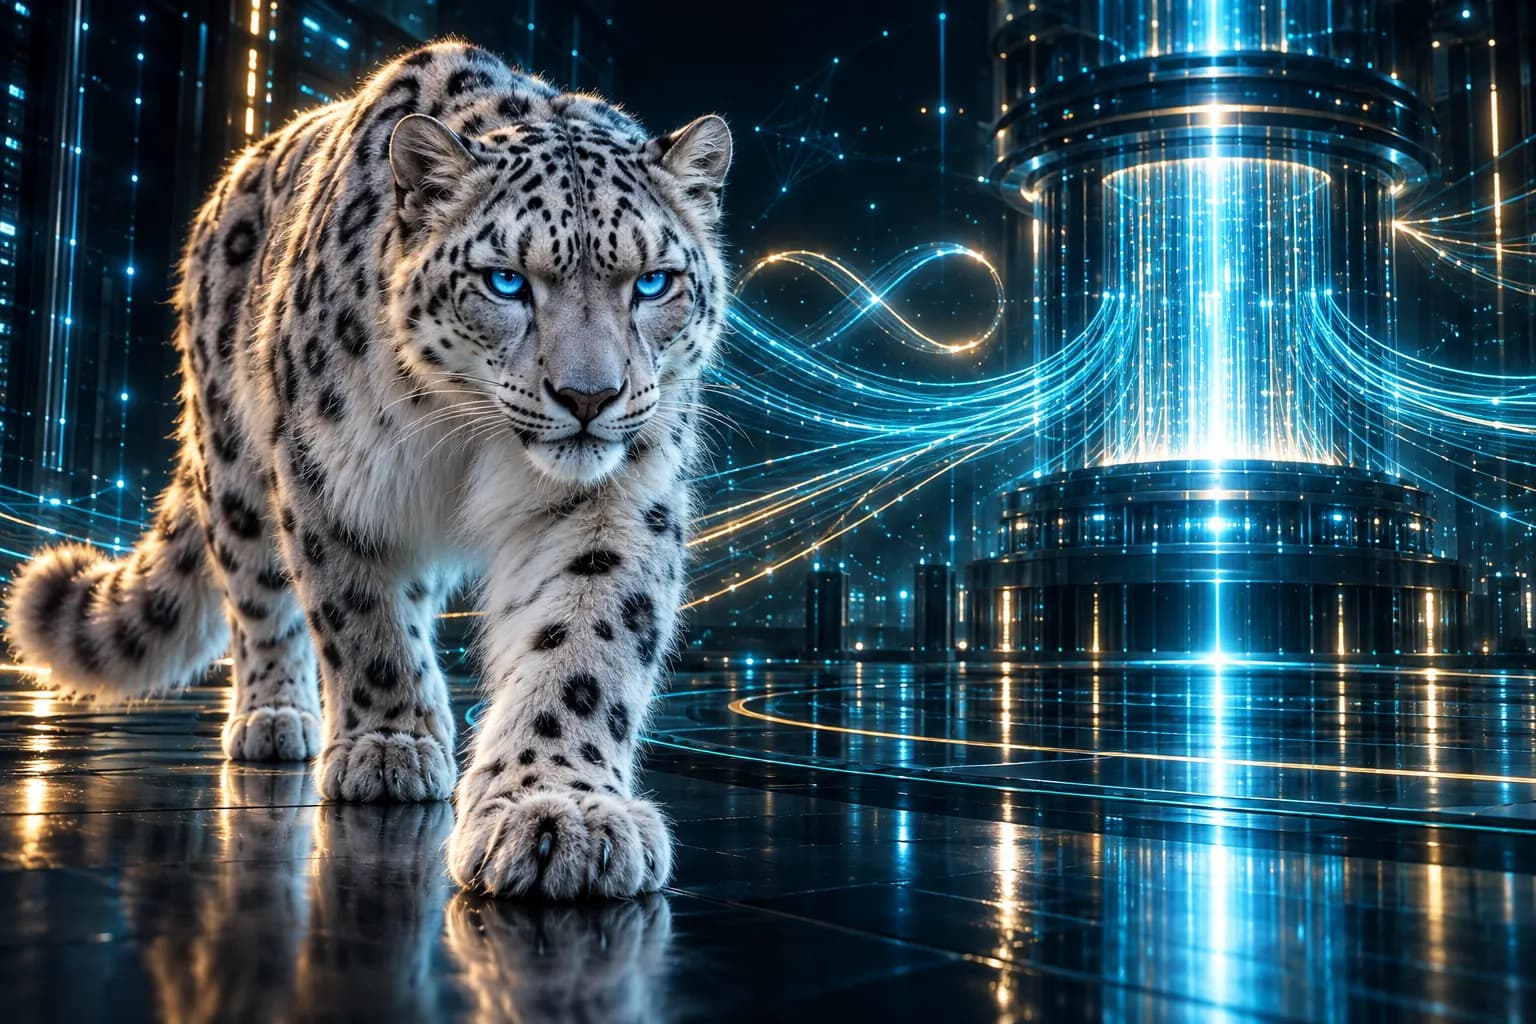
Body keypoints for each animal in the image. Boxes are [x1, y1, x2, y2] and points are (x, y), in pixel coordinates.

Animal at [1, 39, 731, 900]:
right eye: (506, 281)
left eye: (653, 281)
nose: (589, 396)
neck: (476, 440)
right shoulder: (329, 475)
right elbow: (358, 616)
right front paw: (388, 746)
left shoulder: (618, 494)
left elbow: (586, 642)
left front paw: (559, 812)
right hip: (236, 458)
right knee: (258, 596)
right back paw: (278, 719)